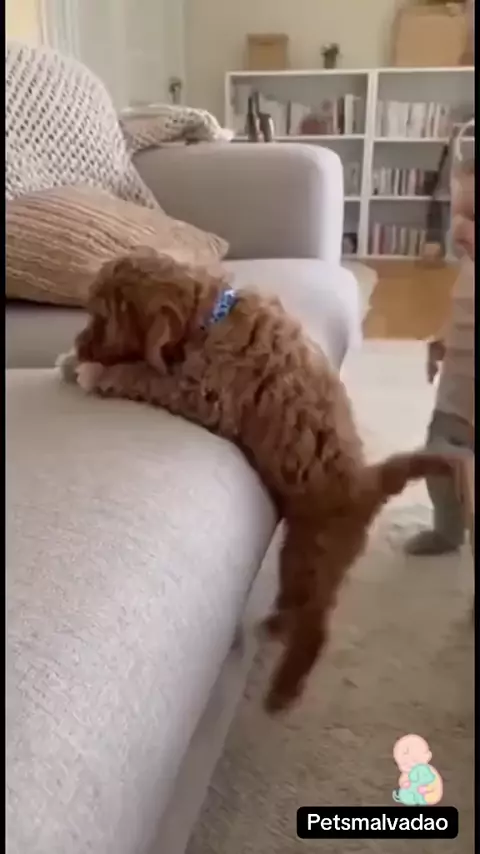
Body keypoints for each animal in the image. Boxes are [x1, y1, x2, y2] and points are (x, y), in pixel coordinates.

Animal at [60, 249, 456, 713]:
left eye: (101, 318)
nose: (78, 345)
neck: (211, 314)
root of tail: (369, 482)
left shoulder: (205, 395)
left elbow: (143, 375)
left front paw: (92, 371)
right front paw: (73, 363)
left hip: (315, 551)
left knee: (315, 625)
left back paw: (284, 689)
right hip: (296, 552)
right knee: (296, 602)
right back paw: (275, 625)